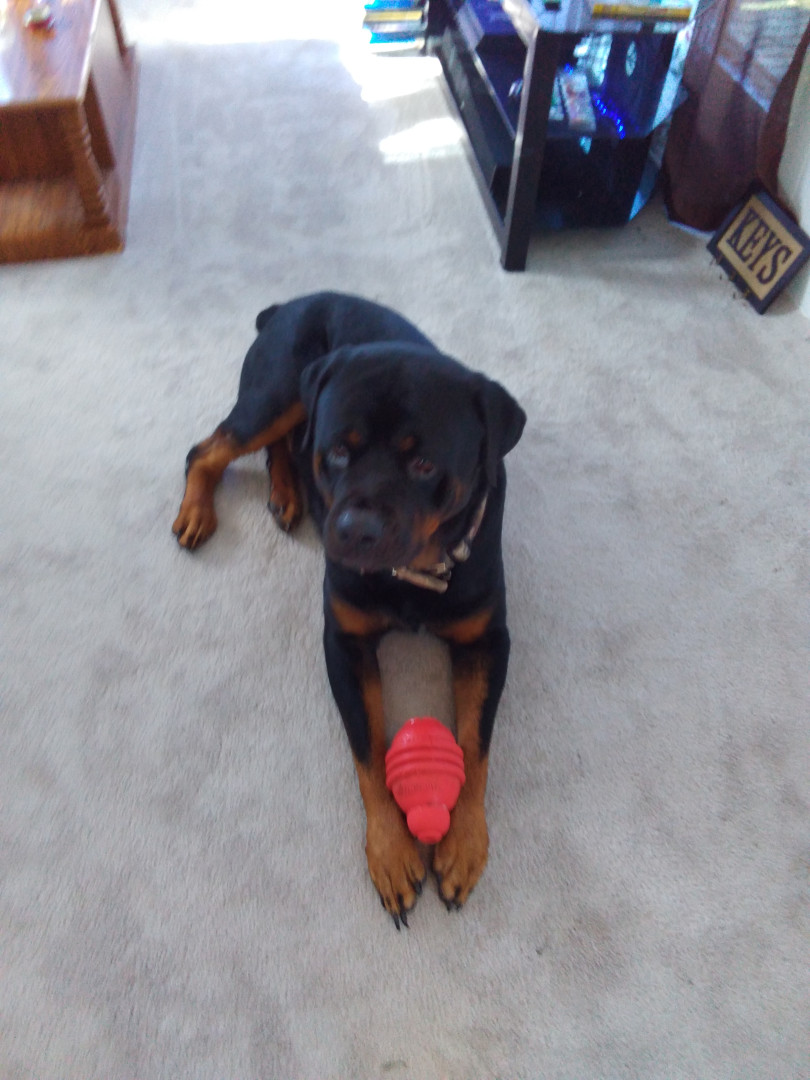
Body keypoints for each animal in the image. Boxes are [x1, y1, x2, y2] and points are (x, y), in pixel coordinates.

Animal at [172, 292, 525, 927]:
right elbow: (369, 749)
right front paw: (391, 853)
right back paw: (200, 510)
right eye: (339, 451)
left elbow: (475, 743)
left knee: (280, 445)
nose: (353, 528)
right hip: (277, 392)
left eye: (424, 465)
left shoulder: (488, 639)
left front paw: (463, 843)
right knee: (215, 447)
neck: (412, 573)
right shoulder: (343, 641)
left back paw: (286, 494)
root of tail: (293, 301)